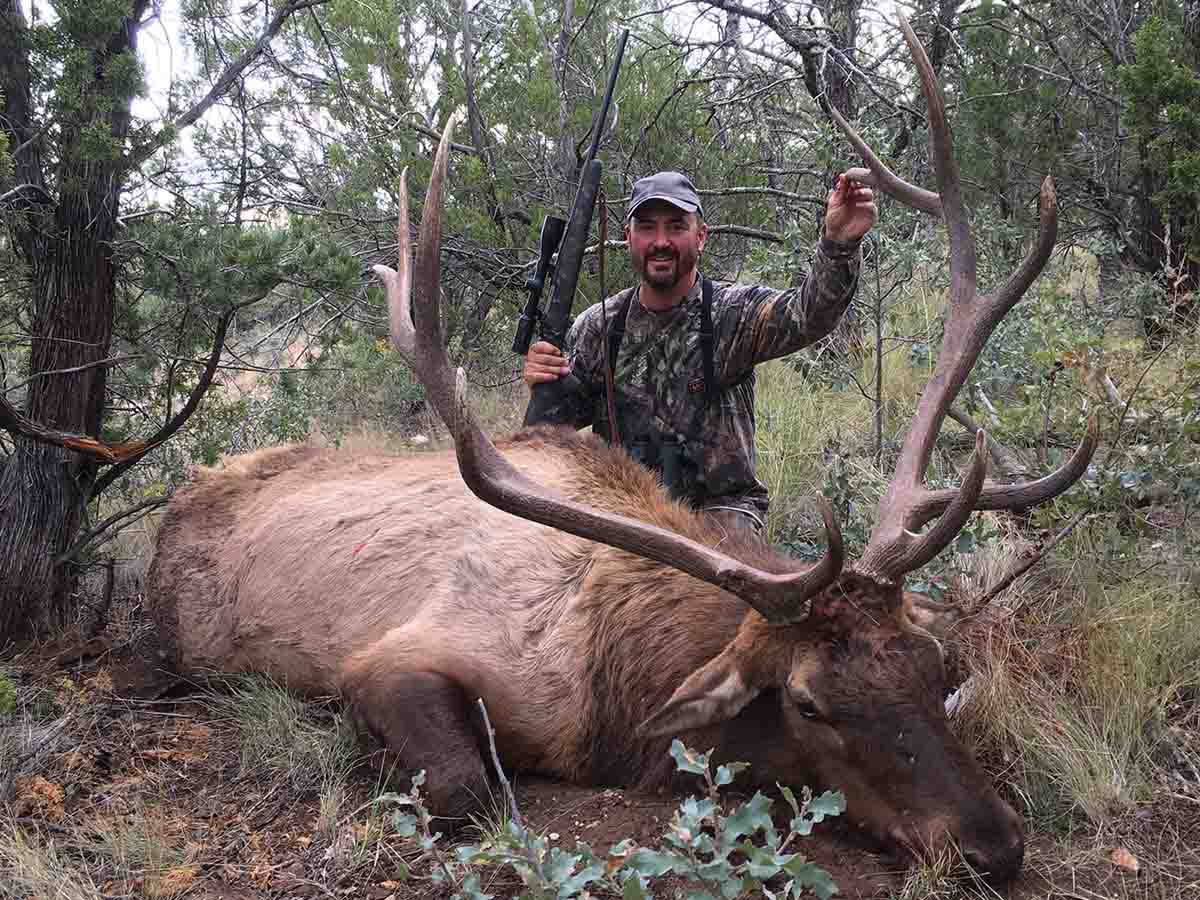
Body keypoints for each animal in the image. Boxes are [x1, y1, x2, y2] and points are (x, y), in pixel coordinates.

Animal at [129, 15, 1099, 888]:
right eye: (810, 702)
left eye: (935, 669)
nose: (994, 845)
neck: (614, 686)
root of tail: (183, 495)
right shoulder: (390, 657)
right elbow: (466, 789)